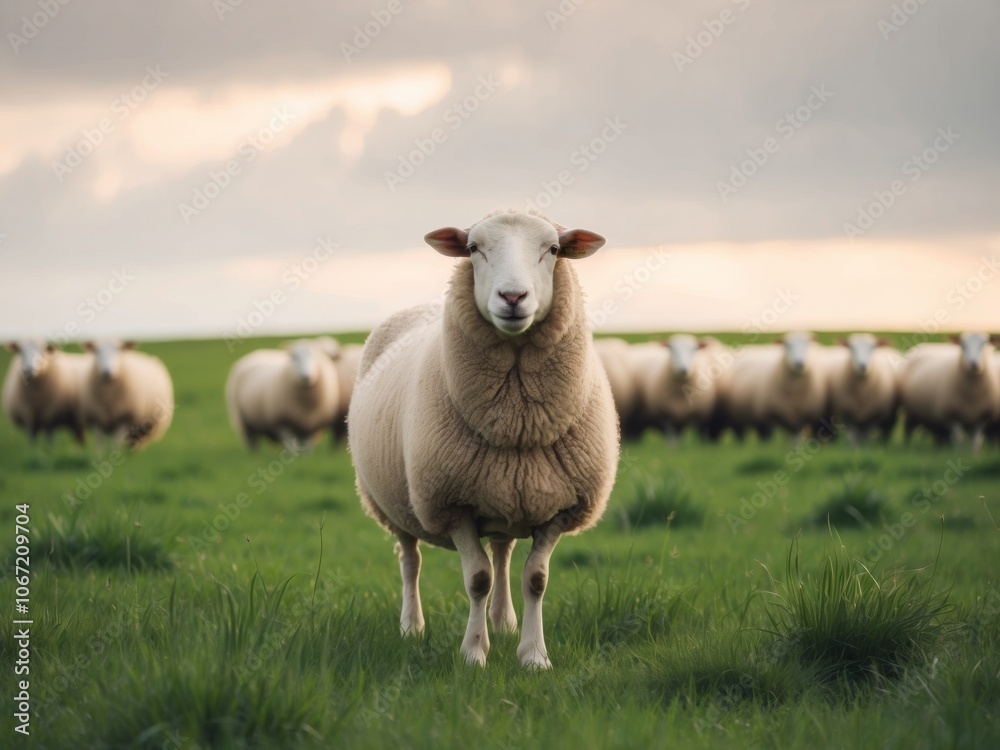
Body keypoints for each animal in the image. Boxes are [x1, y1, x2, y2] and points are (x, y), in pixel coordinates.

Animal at [347, 208, 619, 669]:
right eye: (474, 248)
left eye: (553, 249)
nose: (512, 297)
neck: (517, 423)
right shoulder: (451, 503)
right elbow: (477, 579)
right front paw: (474, 654)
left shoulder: (560, 507)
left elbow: (536, 579)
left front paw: (533, 656)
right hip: (395, 504)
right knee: (410, 561)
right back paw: (412, 627)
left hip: (505, 492)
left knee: (503, 552)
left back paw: (504, 622)